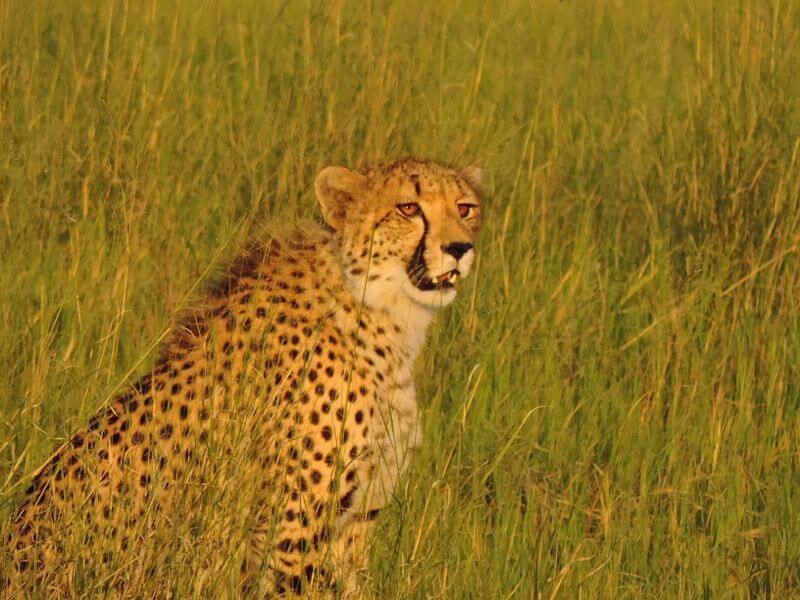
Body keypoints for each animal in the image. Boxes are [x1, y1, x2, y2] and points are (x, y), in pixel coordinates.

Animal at [4, 158, 483, 597]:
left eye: (465, 208)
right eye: (408, 208)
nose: (459, 248)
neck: (383, 311)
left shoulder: (355, 520)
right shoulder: (291, 531)